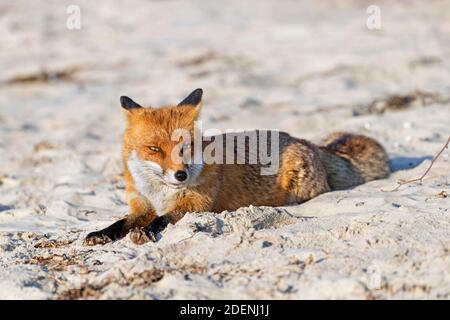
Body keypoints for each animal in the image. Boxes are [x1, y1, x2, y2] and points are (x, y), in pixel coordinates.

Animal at [85, 88, 390, 245]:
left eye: (185, 147)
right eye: (154, 149)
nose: (181, 175)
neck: (160, 193)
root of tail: (307, 142)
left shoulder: (194, 205)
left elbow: (162, 220)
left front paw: (146, 232)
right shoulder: (141, 204)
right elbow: (120, 222)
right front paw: (102, 233)